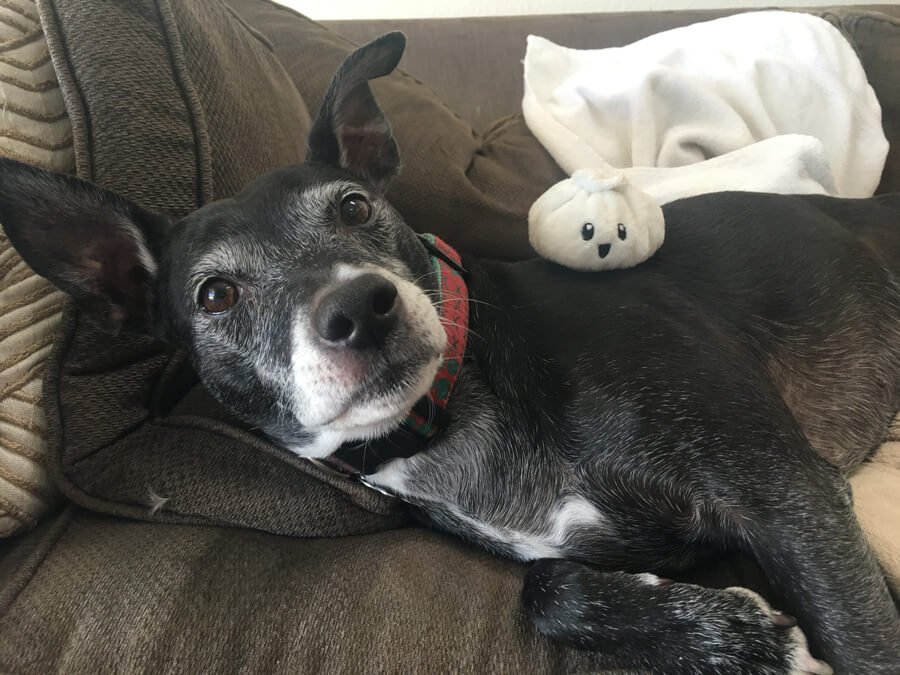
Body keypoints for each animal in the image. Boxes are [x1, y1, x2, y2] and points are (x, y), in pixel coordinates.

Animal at [1, 31, 900, 675]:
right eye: (215, 295)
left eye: (355, 207)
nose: (360, 308)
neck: (452, 412)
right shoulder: (606, 550)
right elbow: (545, 589)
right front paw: (745, 636)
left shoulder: (788, 495)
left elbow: (864, 637)